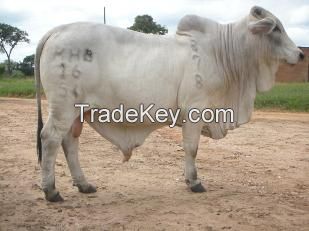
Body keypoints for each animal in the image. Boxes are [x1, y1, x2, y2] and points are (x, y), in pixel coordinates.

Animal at [35, 4, 302, 201]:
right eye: (276, 29)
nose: (300, 54)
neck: (222, 53)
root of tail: (57, 30)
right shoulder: (195, 109)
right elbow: (192, 148)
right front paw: (194, 182)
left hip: (76, 113)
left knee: (69, 143)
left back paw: (84, 184)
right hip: (63, 108)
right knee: (50, 139)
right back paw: (51, 191)